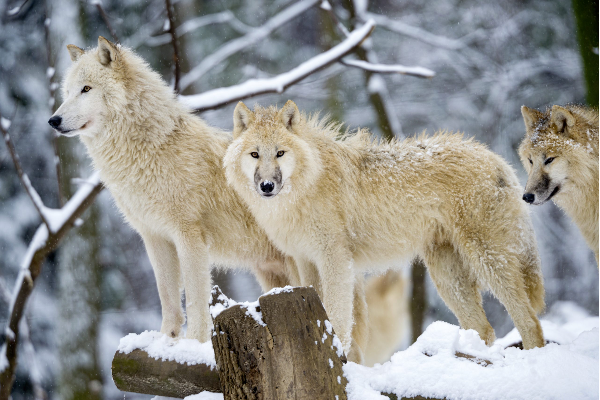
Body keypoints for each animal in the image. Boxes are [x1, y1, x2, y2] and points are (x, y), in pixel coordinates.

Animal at [49, 37, 382, 362]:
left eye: (86, 89)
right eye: (67, 92)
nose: (53, 120)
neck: (151, 150)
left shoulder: (189, 236)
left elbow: (196, 300)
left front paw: (193, 346)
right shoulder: (154, 237)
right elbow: (168, 298)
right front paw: (165, 344)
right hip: (275, 275)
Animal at [223, 101, 548, 352]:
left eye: (280, 153)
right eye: (255, 154)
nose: (267, 186)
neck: (305, 187)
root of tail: (498, 160)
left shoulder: (335, 261)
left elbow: (339, 318)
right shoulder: (305, 261)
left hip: (488, 262)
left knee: (529, 321)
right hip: (448, 278)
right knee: (484, 328)